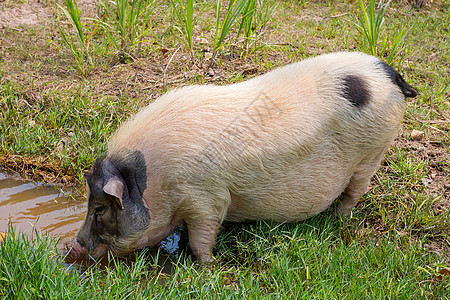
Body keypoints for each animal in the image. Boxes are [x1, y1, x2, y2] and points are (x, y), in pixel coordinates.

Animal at [66, 52, 414, 262]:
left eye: (100, 208)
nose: (73, 245)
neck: (153, 181)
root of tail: (389, 74)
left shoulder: (206, 198)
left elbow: (201, 237)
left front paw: (208, 265)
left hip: (374, 150)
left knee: (356, 190)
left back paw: (339, 219)